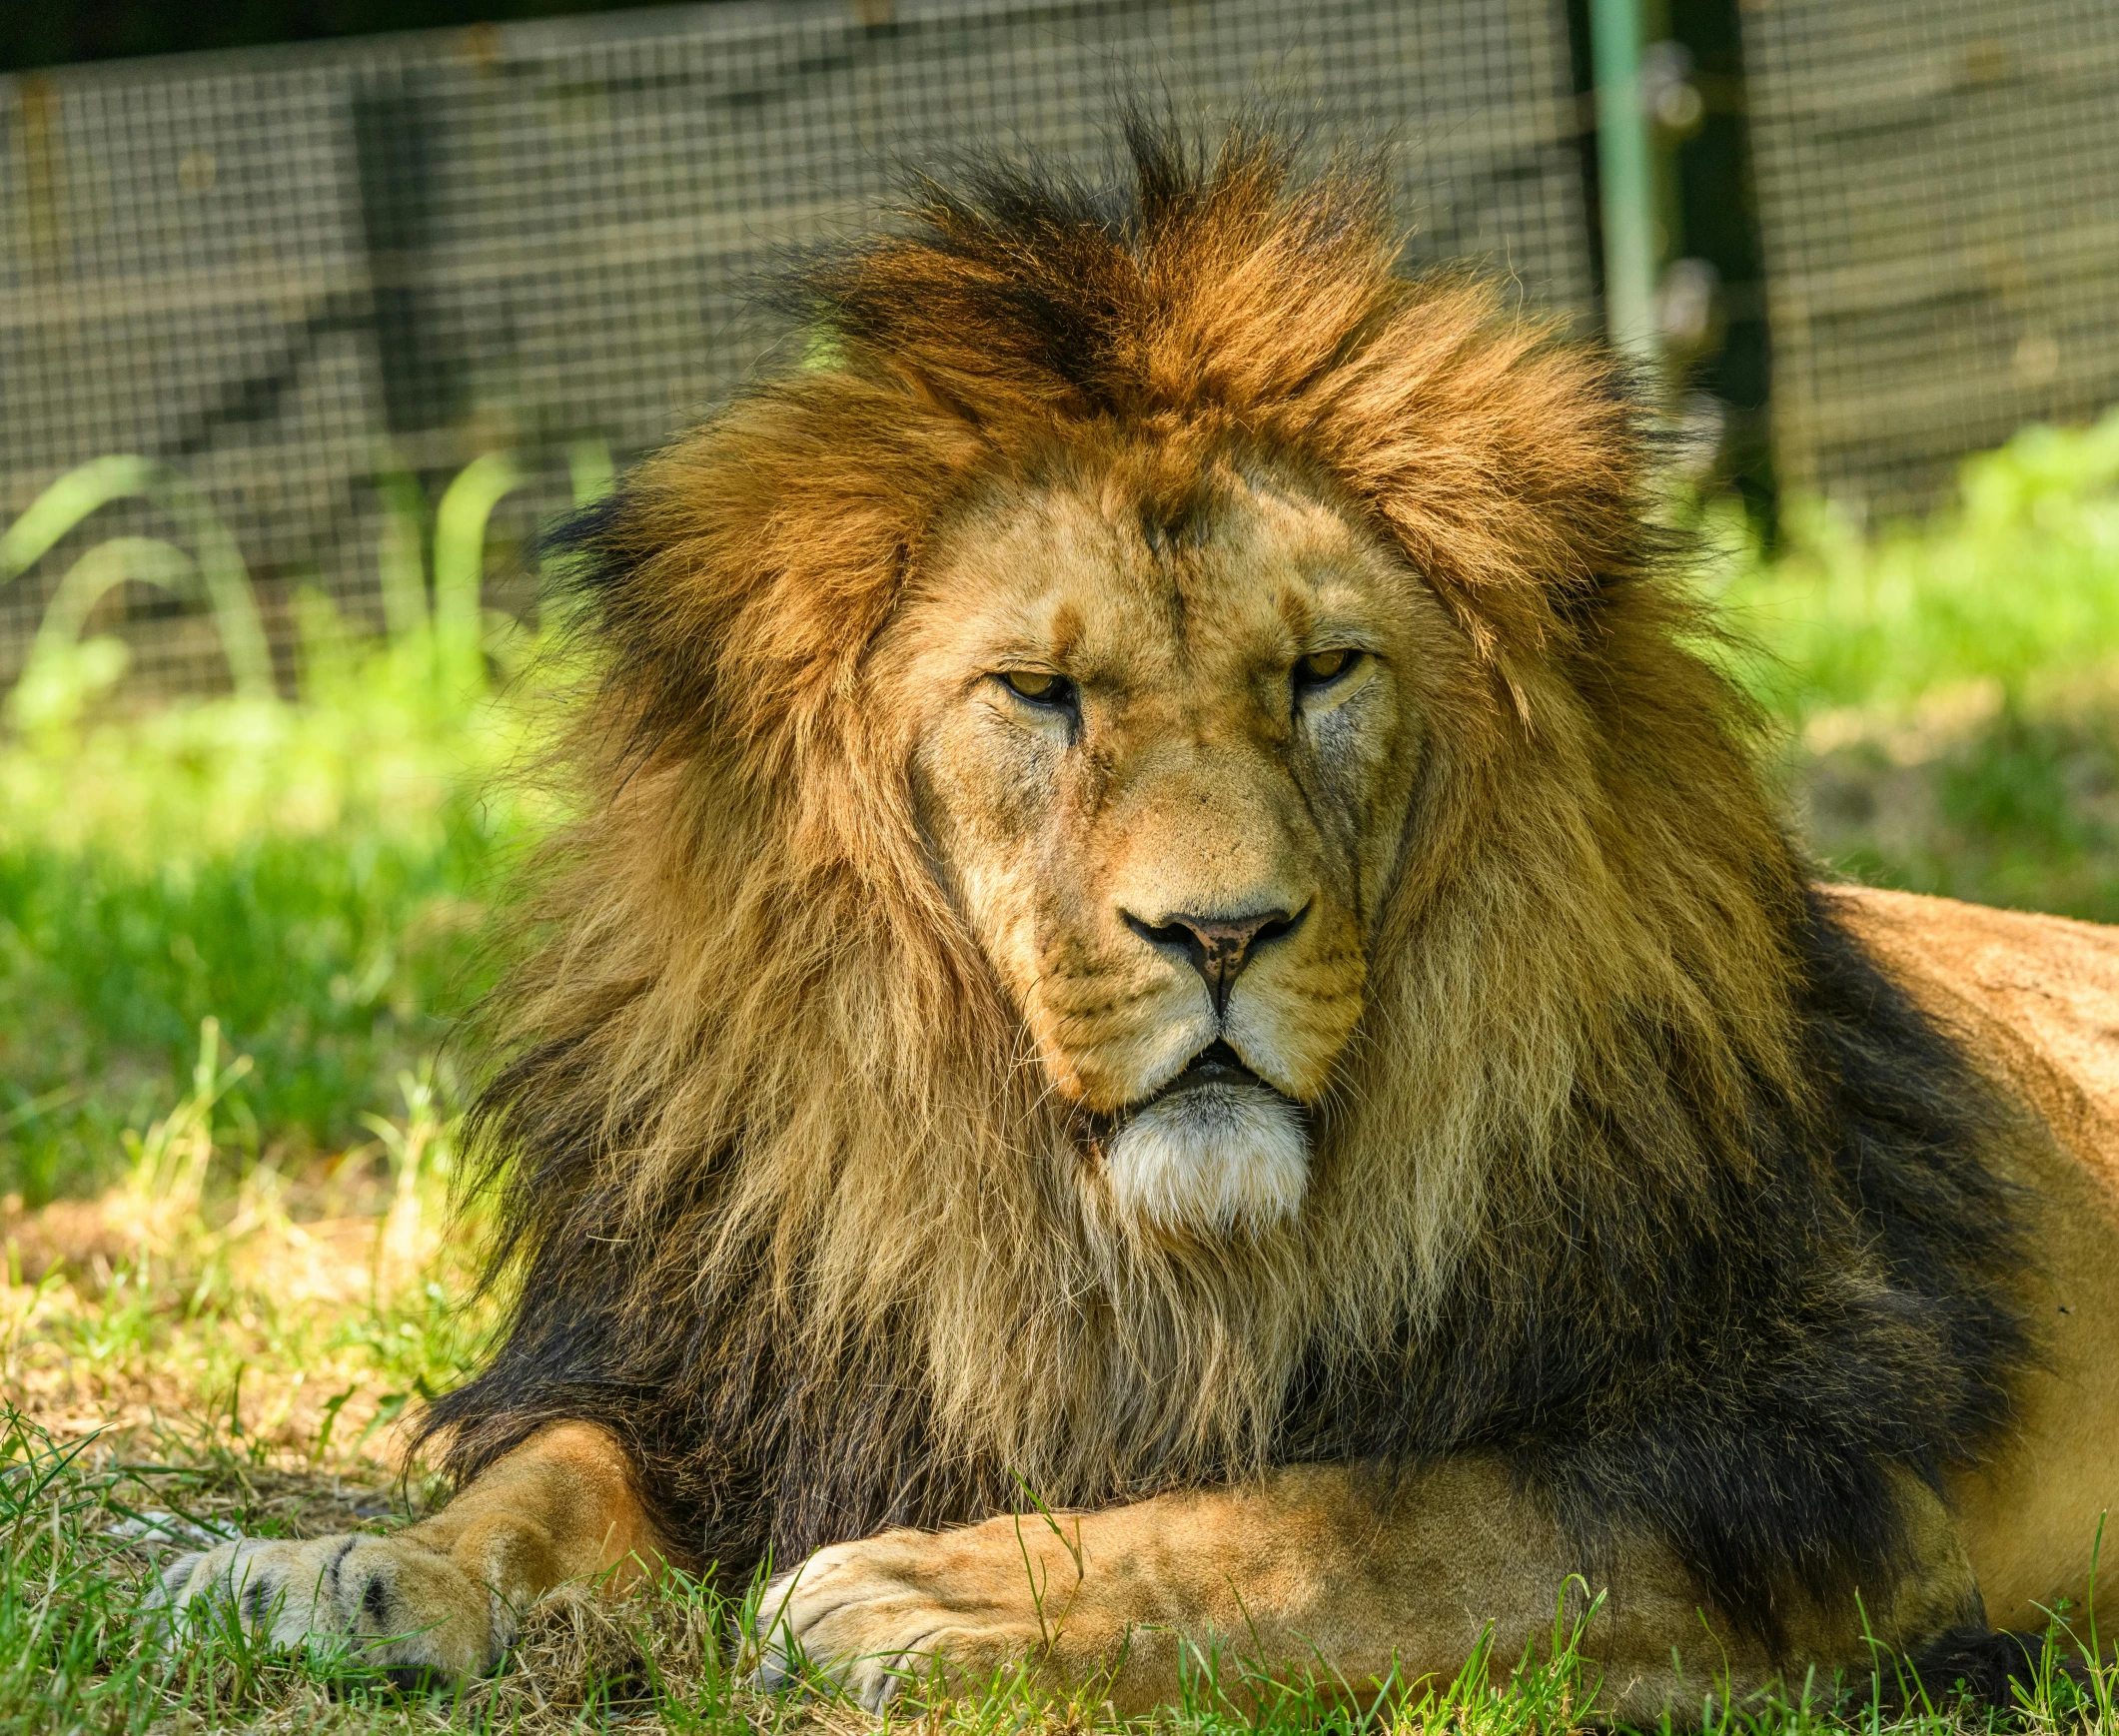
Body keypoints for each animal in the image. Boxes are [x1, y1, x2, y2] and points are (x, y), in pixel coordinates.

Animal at [153, 128, 2119, 1721]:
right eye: (1041, 691)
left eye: (1323, 672)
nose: (1222, 933)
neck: (1102, 1241)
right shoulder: (736, 1350)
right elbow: (554, 1469)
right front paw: (350, 1571)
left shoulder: (1787, 1447)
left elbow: (1372, 1513)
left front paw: (947, 1590)